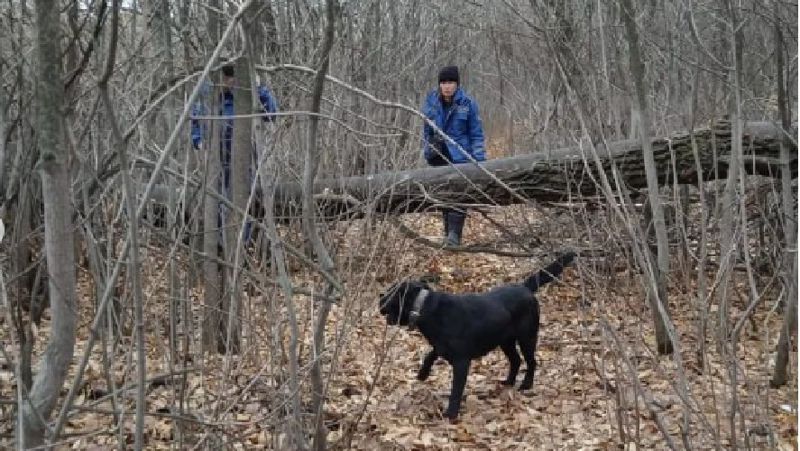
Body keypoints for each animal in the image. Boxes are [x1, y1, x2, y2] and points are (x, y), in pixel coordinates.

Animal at [380, 252, 576, 422]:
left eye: (391, 292)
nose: (380, 297)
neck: (426, 308)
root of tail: (525, 287)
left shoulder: (461, 361)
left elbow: (456, 389)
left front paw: (451, 413)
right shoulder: (442, 346)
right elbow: (431, 354)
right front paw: (423, 373)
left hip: (527, 338)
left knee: (531, 362)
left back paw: (526, 385)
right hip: (505, 341)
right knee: (516, 360)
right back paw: (508, 382)